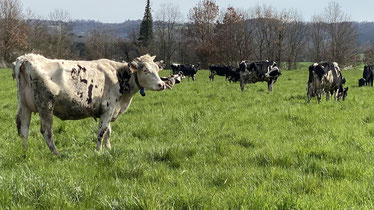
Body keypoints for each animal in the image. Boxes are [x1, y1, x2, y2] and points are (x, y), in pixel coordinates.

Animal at [13, 53, 167, 155]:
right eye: (145, 70)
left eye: (157, 69)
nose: (162, 84)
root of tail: (27, 57)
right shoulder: (109, 108)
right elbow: (102, 131)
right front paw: (98, 151)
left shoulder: (108, 111)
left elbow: (108, 131)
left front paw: (109, 149)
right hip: (46, 105)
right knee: (46, 130)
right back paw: (57, 153)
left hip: (25, 105)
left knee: (24, 129)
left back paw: (25, 152)